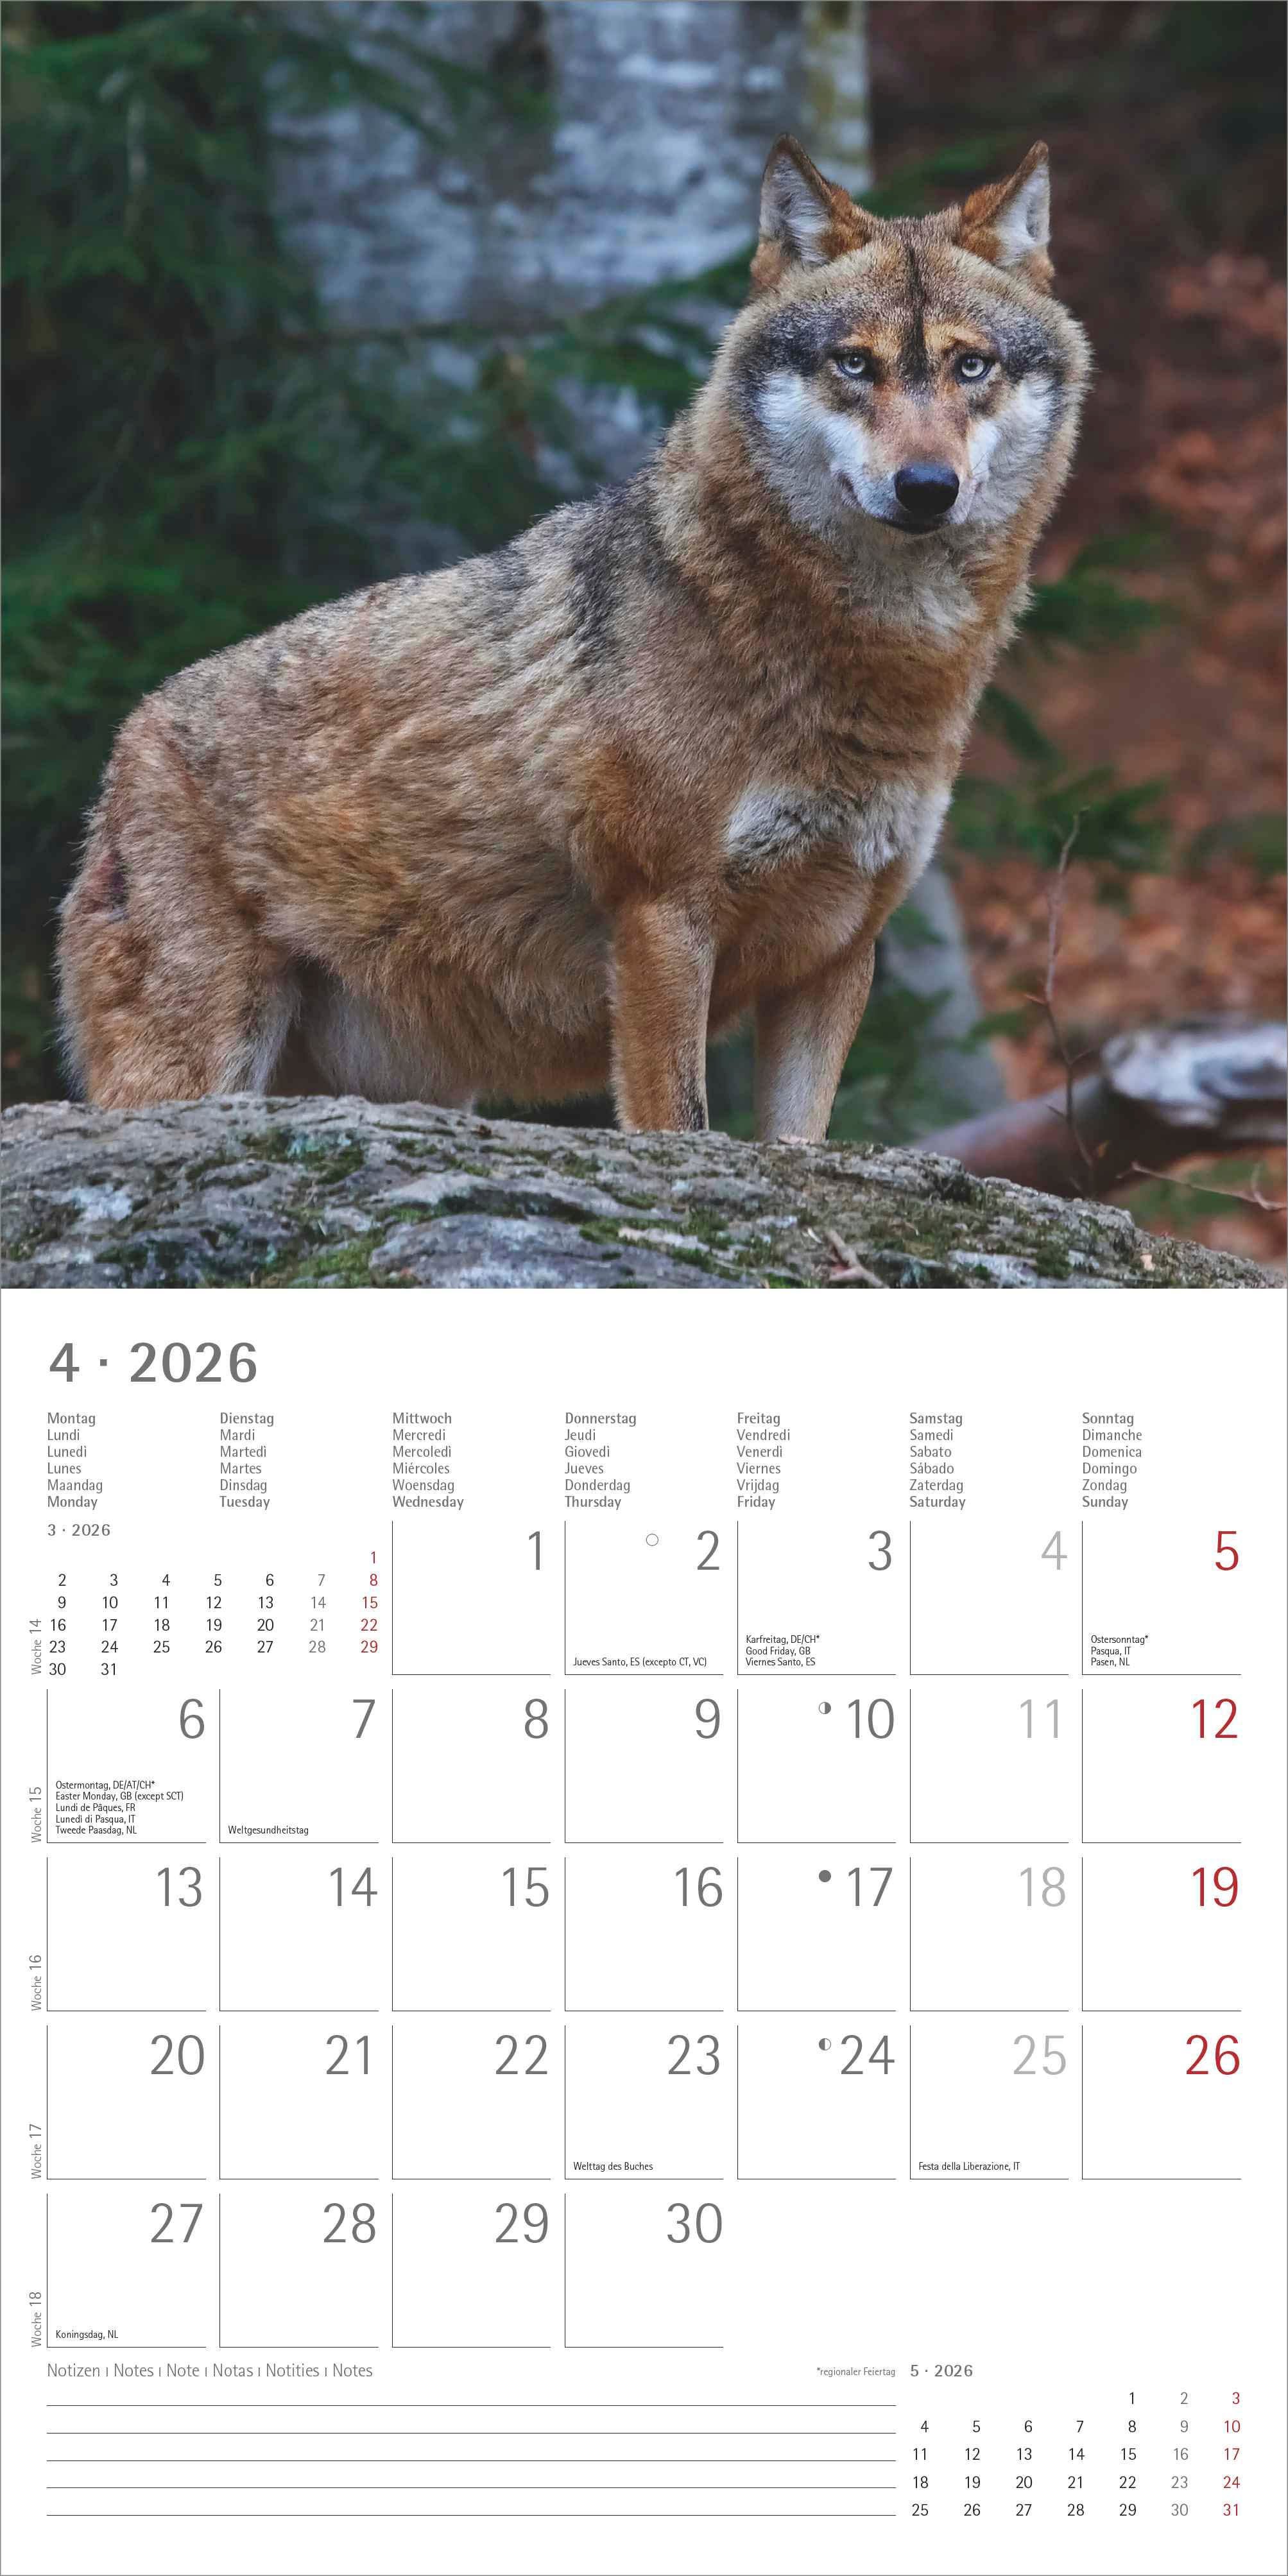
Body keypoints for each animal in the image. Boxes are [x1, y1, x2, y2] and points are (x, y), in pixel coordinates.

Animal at [58, 136, 1089, 1135]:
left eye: (970, 366)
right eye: (854, 365)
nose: (926, 487)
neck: (874, 664)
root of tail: (128, 737)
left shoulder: (837, 954)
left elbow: (797, 1145)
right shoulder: (661, 920)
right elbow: (677, 1127)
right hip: (198, 1067)